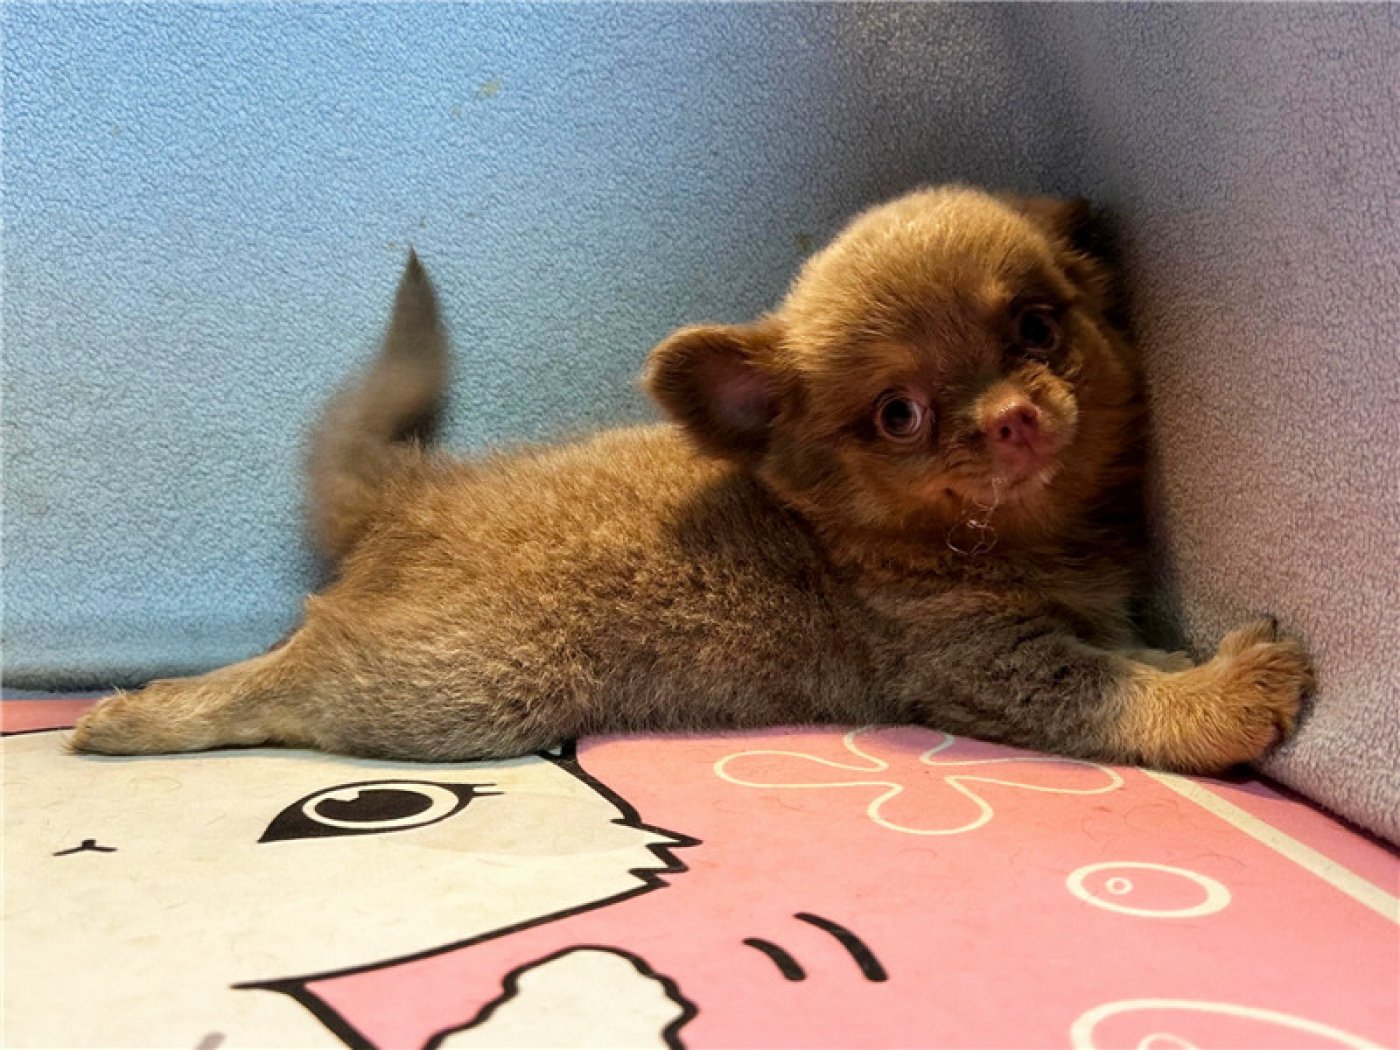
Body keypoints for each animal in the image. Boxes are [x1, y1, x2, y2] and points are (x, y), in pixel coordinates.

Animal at [72, 185, 1312, 773]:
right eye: (898, 414)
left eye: (1037, 328)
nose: (1009, 419)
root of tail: (421, 492)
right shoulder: (979, 663)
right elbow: (1109, 694)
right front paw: (1221, 694)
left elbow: (1128, 653)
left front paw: (1181, 660)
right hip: (455, 688)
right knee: (284, 678)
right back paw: (141, 713)